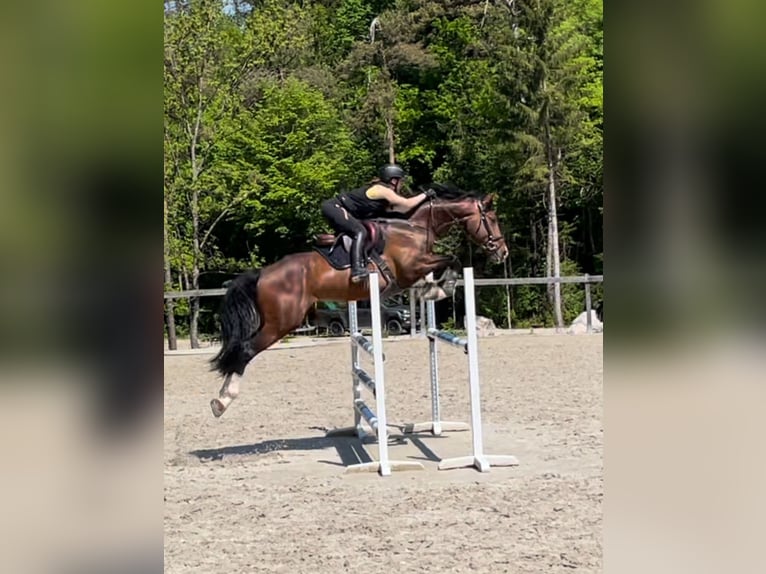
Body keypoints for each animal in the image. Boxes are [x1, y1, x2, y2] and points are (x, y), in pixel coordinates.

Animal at [210, 184, 510, 418]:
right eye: (493, 218)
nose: (503, 253)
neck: (414, 228)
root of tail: (262, 274)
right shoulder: (412, 266)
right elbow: (452, 260)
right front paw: (440, 288)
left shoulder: (412, 272)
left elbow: (437, 272)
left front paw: (432, 290)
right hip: (282, 322)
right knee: (245, 350)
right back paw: (222, 401)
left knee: (240, 351)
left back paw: (221, 397)